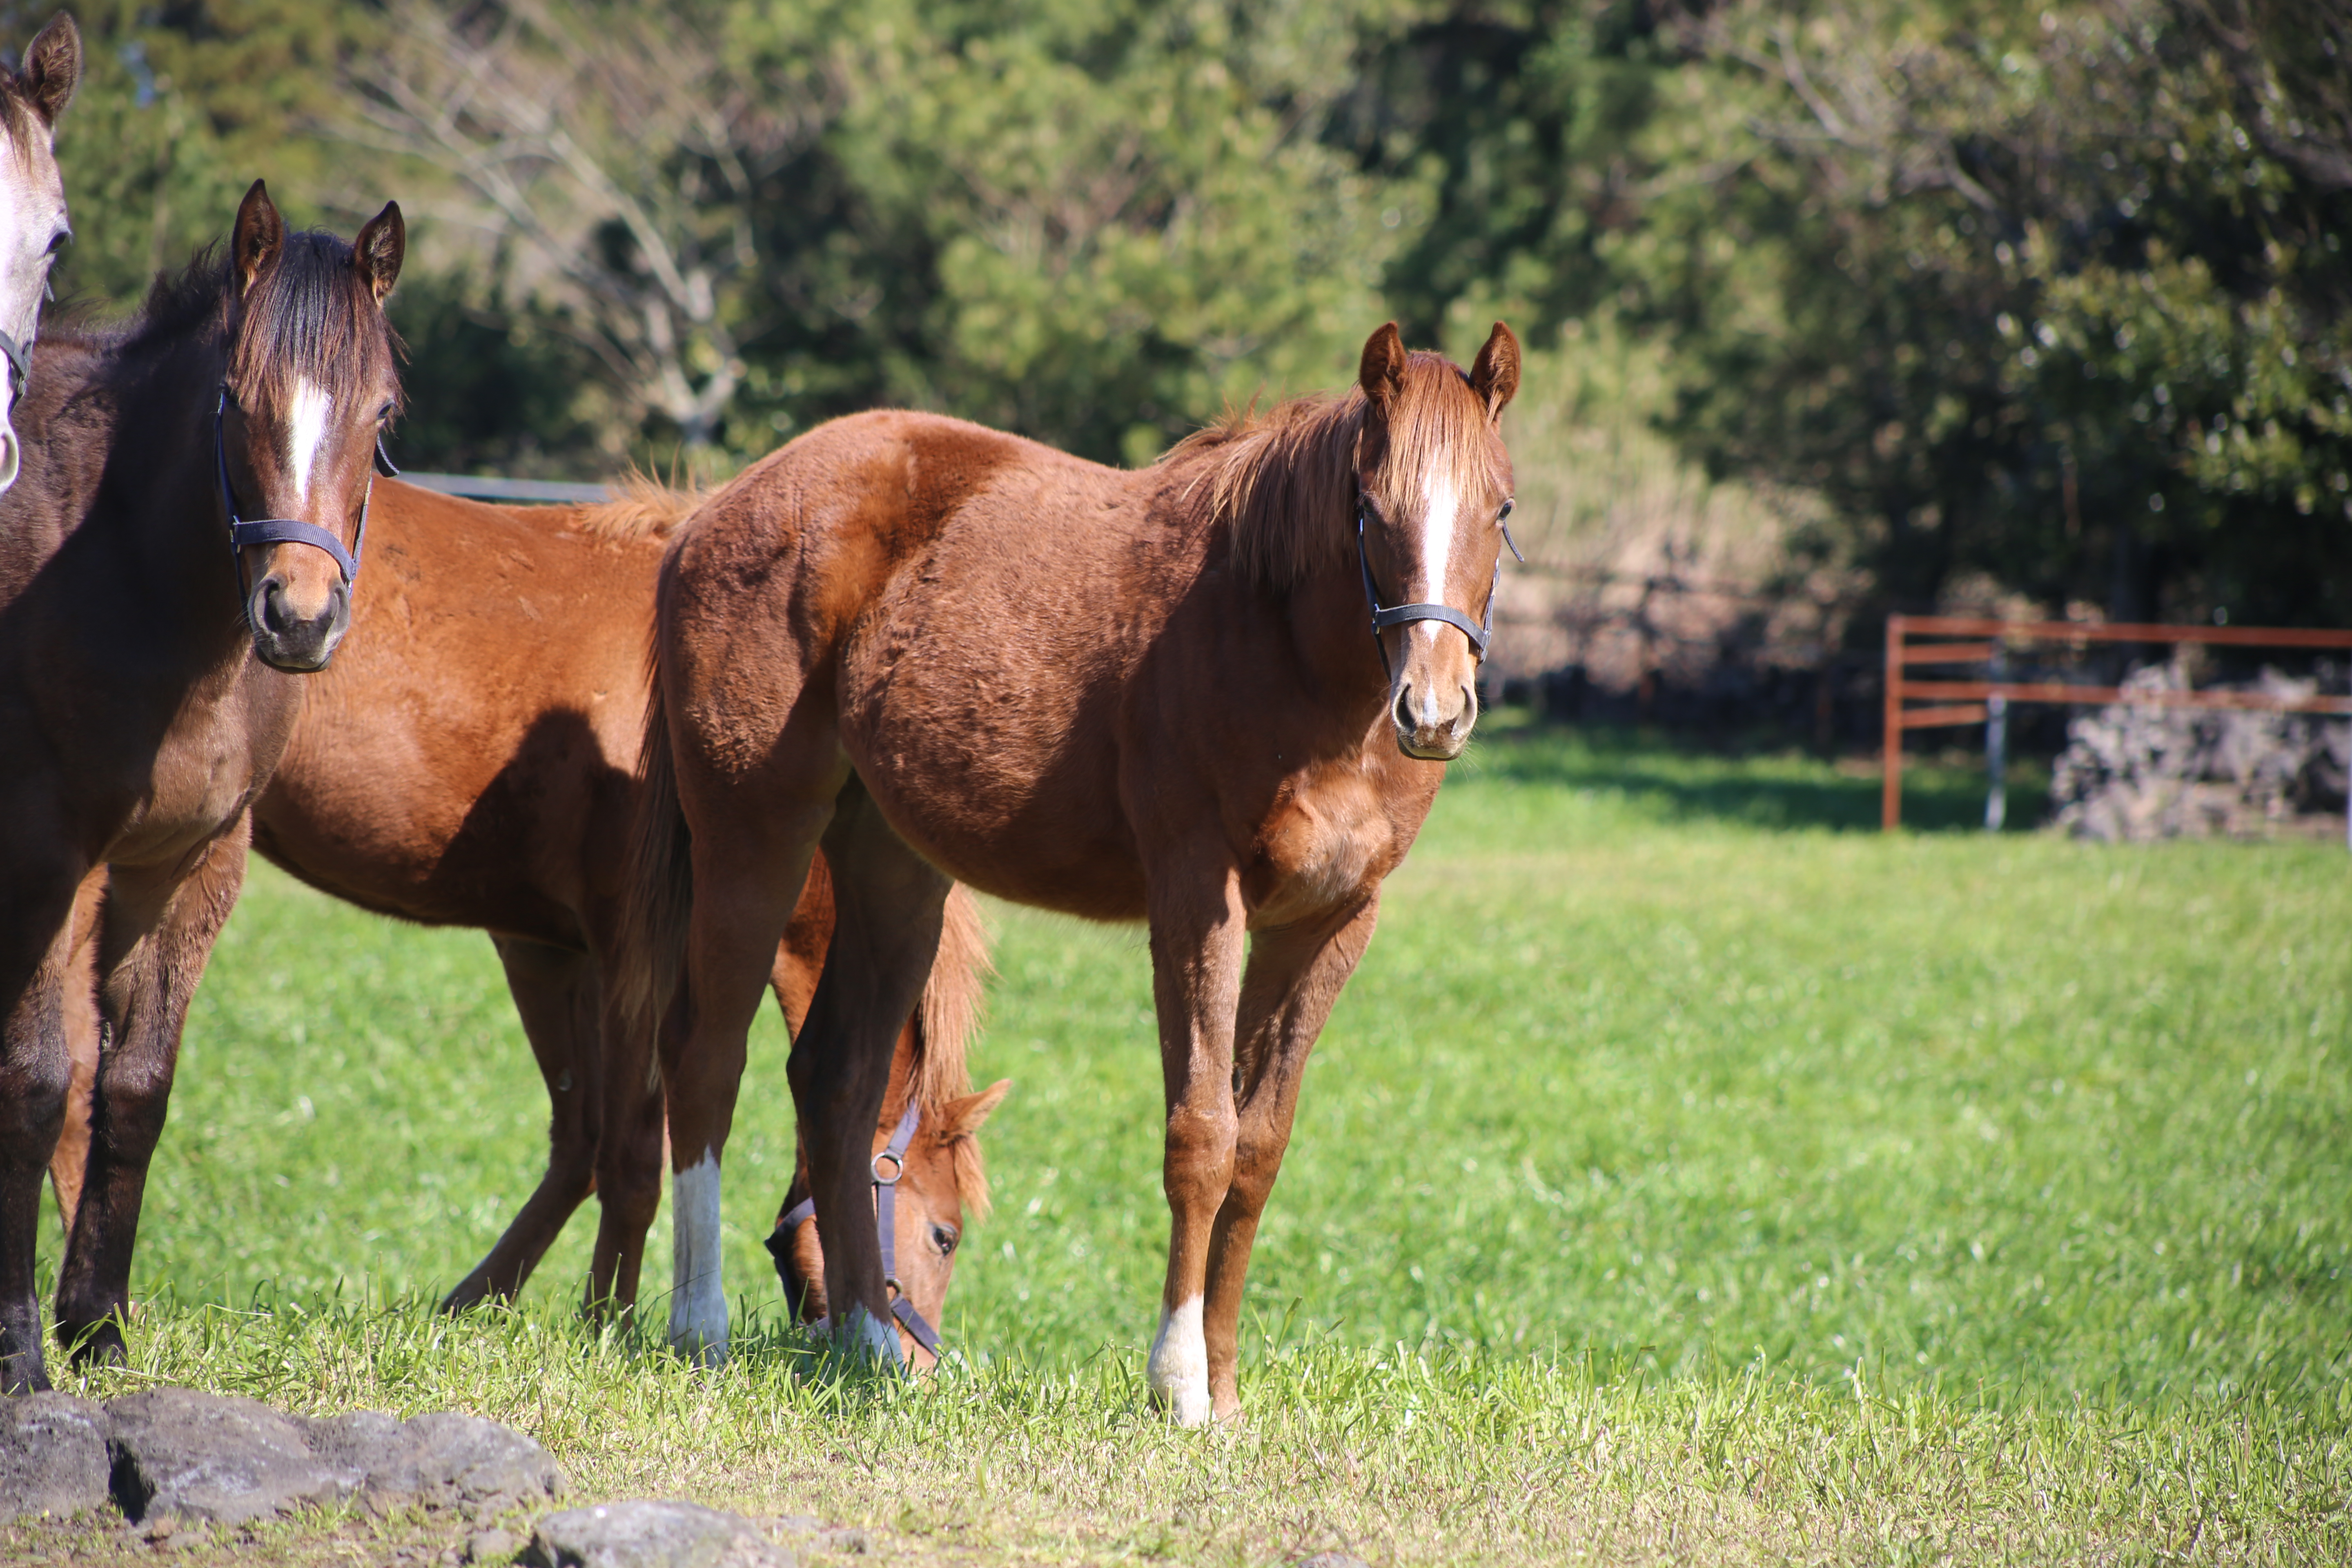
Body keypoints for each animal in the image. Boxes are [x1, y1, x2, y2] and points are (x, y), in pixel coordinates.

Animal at [0, 184, 407, 1401]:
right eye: (237, 401)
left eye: (383, 413)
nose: (301, 616)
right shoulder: (46, 864)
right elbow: (39, 1083)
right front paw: (22, 1349)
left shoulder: (186, 865)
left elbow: (135, 1088)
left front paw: (95, 1325)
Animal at [43, 479, 1002, 1354]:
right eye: (945, 1235)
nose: (921, 1364)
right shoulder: (631, 959)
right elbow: (632, 1159)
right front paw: (609, 1324)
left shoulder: (547, 951)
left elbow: (580, 1147)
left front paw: (485, 1307)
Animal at [616, 322, 1515, 1420]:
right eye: (1370, 506)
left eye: (1500, 508)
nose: (1434, 709)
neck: (1283, 651)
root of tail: (711, 512)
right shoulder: (1197, 903)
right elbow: (1200, 1136)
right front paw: (1178, 1386)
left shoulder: (1330, 923)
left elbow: (1258, 1149)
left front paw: (1225, 1391)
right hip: (754, 834)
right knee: (706, 1055)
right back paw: (697, 1328)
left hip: (894, 873)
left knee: (836, 1080)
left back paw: (868, 1347)